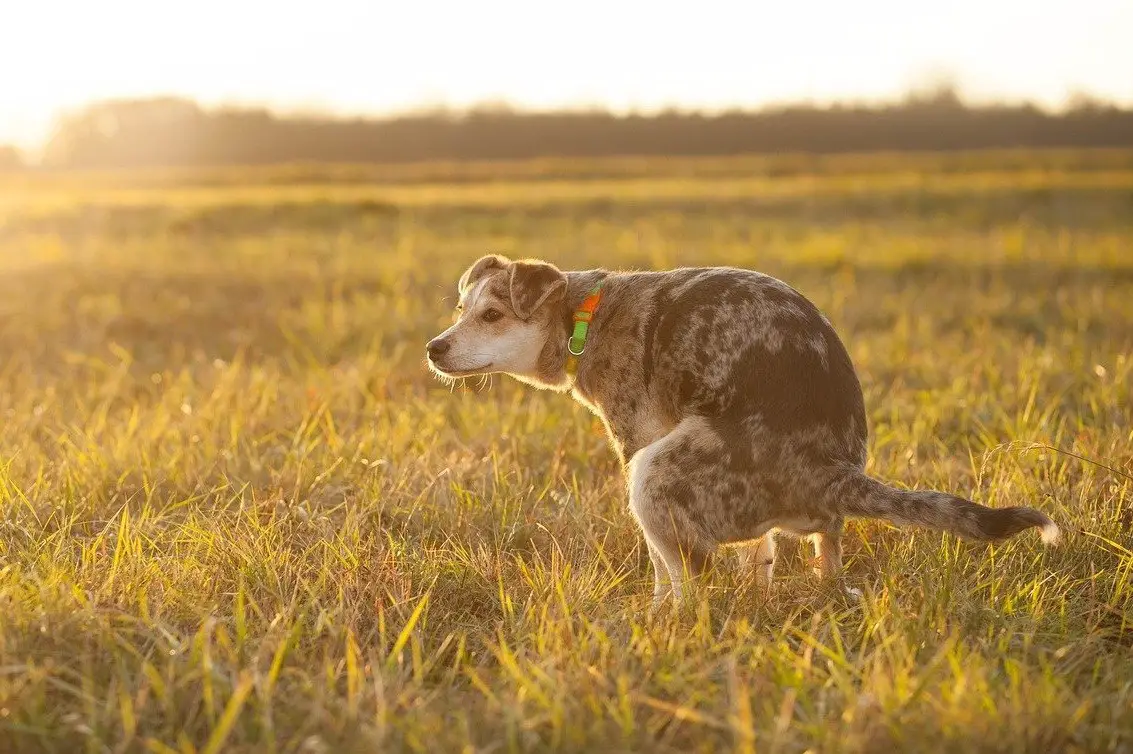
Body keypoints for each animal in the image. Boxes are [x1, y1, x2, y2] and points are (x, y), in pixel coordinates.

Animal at [426, 256, 1060, 603]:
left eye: (492, 315)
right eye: (460, 310)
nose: (434, 348)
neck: (585, 314)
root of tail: (833, 472)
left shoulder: (636, 441)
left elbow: (662, 570)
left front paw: (654, 614)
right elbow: (759, 557)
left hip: (654, 471)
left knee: (692, 581)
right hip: (802, 524)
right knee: (816, 556)